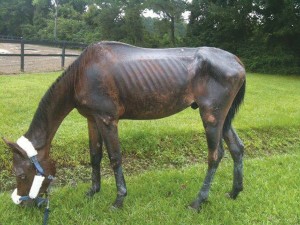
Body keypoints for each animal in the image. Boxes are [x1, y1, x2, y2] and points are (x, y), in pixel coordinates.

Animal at [3, 41, 245, 212]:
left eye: (21, 175)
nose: (23, 204)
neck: (81, 73)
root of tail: (237, 61)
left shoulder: (108, 120)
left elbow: (115, 157)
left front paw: (118, 200)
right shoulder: (92, 119)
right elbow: (95, 156)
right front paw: (93, 191)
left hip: (211, 117)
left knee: (215, 155)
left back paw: (198, 202)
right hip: (223, 119)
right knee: (237, 149)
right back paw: (234, 192)